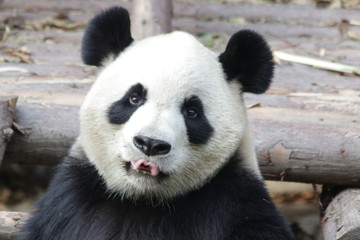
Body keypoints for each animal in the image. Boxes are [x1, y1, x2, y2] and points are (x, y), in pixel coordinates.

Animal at [20, 6, 296, 239]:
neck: (142, 199)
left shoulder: (235, 205)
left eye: (192, 112)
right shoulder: (69, 204)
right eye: (134, 98)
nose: (150, 144)